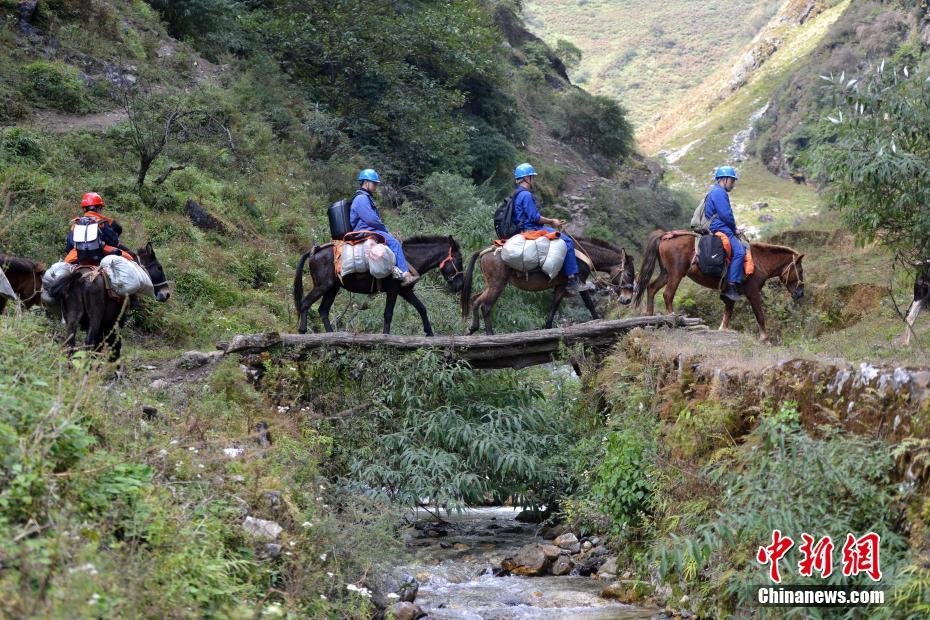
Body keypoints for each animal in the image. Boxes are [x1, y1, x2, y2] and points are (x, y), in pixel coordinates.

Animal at [293, 235, 464, 335]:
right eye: (459, 260)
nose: (460, 286)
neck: (409, 258)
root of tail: (314, 252)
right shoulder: (393, 290)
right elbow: (388, 314)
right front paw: (385, 336)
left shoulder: (405, 291)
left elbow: (421, 308)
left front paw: (429, 333)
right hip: (322, 286)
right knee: (305, 303)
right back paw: (302, 331)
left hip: (332, 289)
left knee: (323, 310)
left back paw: (330, 334)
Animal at [460, 235, 637, 335]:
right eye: (629, 274)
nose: (628, 299)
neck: (583, 254)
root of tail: (486, 251)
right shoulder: (579, 282)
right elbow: (589, 304)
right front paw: (598, 321)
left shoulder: (560, 287)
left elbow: (553, 308)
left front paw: (547, 328)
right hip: (498, 284)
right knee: (486, 306)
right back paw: (489, 334)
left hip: (490, 284)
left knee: (475, 299)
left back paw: (473, 328)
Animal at [634, 230, 804, 342]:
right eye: (801, 271)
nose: (800, 293)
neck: (759, 262)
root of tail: (664, 236)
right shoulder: (753, 292)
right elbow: (760, 315)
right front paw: (765, 339)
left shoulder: (731, 292)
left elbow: (728, 312)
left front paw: (723, 330)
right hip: (676, 274)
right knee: (668, 294)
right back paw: (674, 319)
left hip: (666, 273)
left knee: (651, 288)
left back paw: (649, 316)